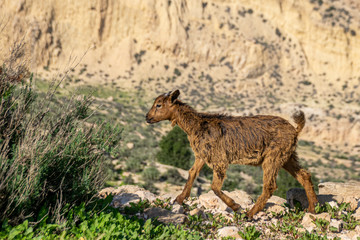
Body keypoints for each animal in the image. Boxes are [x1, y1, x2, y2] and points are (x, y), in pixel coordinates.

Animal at [146, 89, 318, 218]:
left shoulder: (219, 159)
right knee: (304, 175)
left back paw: (249, 214)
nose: (147, 117)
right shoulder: (202, 155)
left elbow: (215, 187)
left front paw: (236, 206)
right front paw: (180, 199)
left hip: (273, 157)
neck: (198, 125)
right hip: (287, 156)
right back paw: (312, 209)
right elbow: (192, 173)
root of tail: (295, 129)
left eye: (159, 105)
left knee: (269, 186)